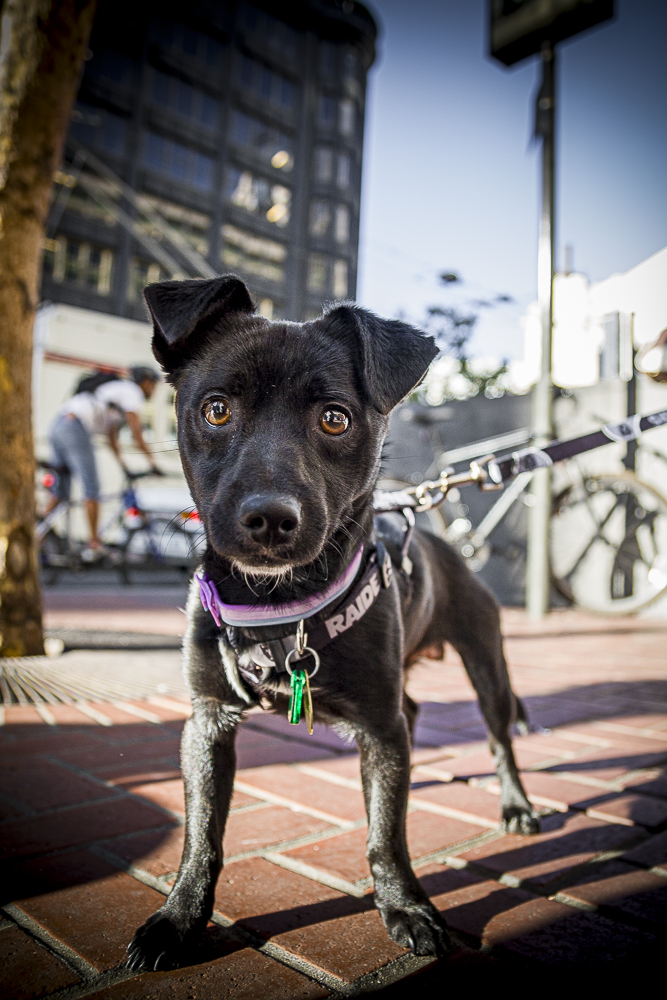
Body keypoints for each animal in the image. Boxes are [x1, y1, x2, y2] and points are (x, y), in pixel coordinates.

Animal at [128, 274, 540, 968]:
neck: (281, 607)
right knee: (416, 716)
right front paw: (179, 919)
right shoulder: (208, 722)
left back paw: (514, 805)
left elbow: (386, 838)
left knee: (498, 737)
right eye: (216, 409)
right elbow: (201, 835)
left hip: (486, 663)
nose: (269, 518)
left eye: (335, 418)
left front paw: (406, 907)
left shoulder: (378, 725)